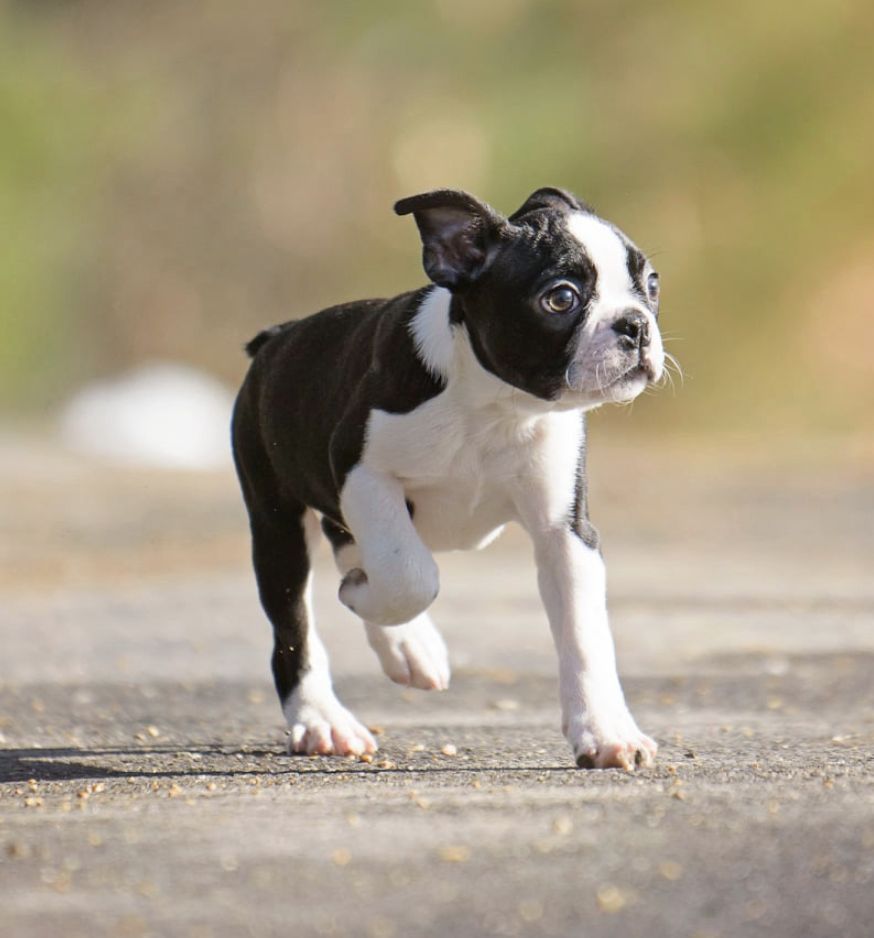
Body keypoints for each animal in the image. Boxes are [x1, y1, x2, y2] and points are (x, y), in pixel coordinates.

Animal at [232, 185, 660, 768]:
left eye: (652, 284)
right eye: (561, 298)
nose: (636, 324)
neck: (496, 408)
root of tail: (276, 338)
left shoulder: (565, 533)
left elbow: (584, 635)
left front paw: (607, 732)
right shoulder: (363, 473)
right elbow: (412, 574)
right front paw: (363, 596)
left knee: (348, 547)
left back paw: (407, 646)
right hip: (277, 521)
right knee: (295, 627)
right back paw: (324, 720)